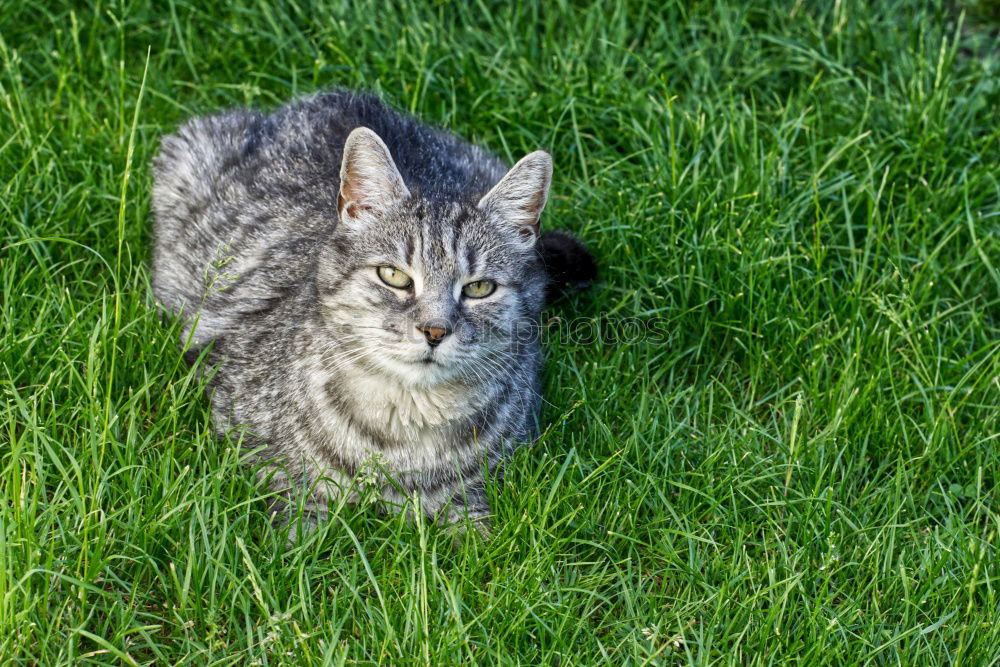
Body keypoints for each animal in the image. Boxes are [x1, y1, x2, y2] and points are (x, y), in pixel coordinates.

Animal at [150, 88, 592, 536]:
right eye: (393, 276)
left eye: (479, 288)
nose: (434, 331)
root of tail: (333, 95)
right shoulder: (264, 459)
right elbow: (295, 527)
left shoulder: (487, 486)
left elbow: (483, 535)